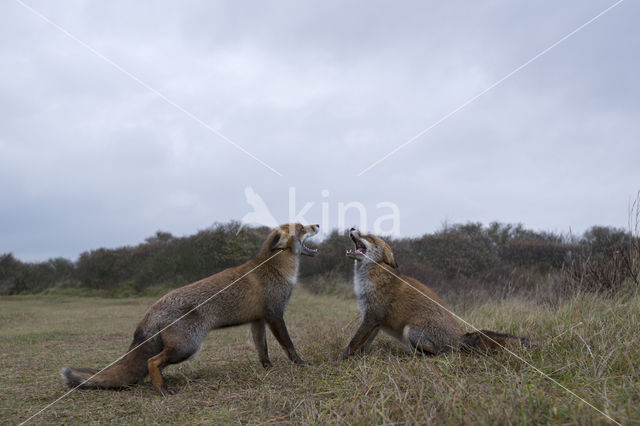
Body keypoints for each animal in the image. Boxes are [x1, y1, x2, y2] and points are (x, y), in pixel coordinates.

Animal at [59, 225, 318, 394]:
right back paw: (162, 390)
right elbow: (289, 346)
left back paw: (162, 384)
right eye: (301, 228)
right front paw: (301, 364)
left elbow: (262, 350)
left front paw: (268, 369)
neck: (275, 267)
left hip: (181, 347)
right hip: (187, 347)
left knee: (150, 364)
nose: (316, 224)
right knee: (152, 361)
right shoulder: (275, 315)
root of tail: (152, 309)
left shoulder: (258, 320)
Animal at [340, 228, 536, 358]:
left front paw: (341, 360)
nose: (352, 228)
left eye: (369, 237)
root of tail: (459, 338)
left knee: (438, 353)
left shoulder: (372, 316)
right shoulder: (374, 321)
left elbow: (353, 342)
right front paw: (359, 358)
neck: (371, 276)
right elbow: (363, 344)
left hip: (411, 330)